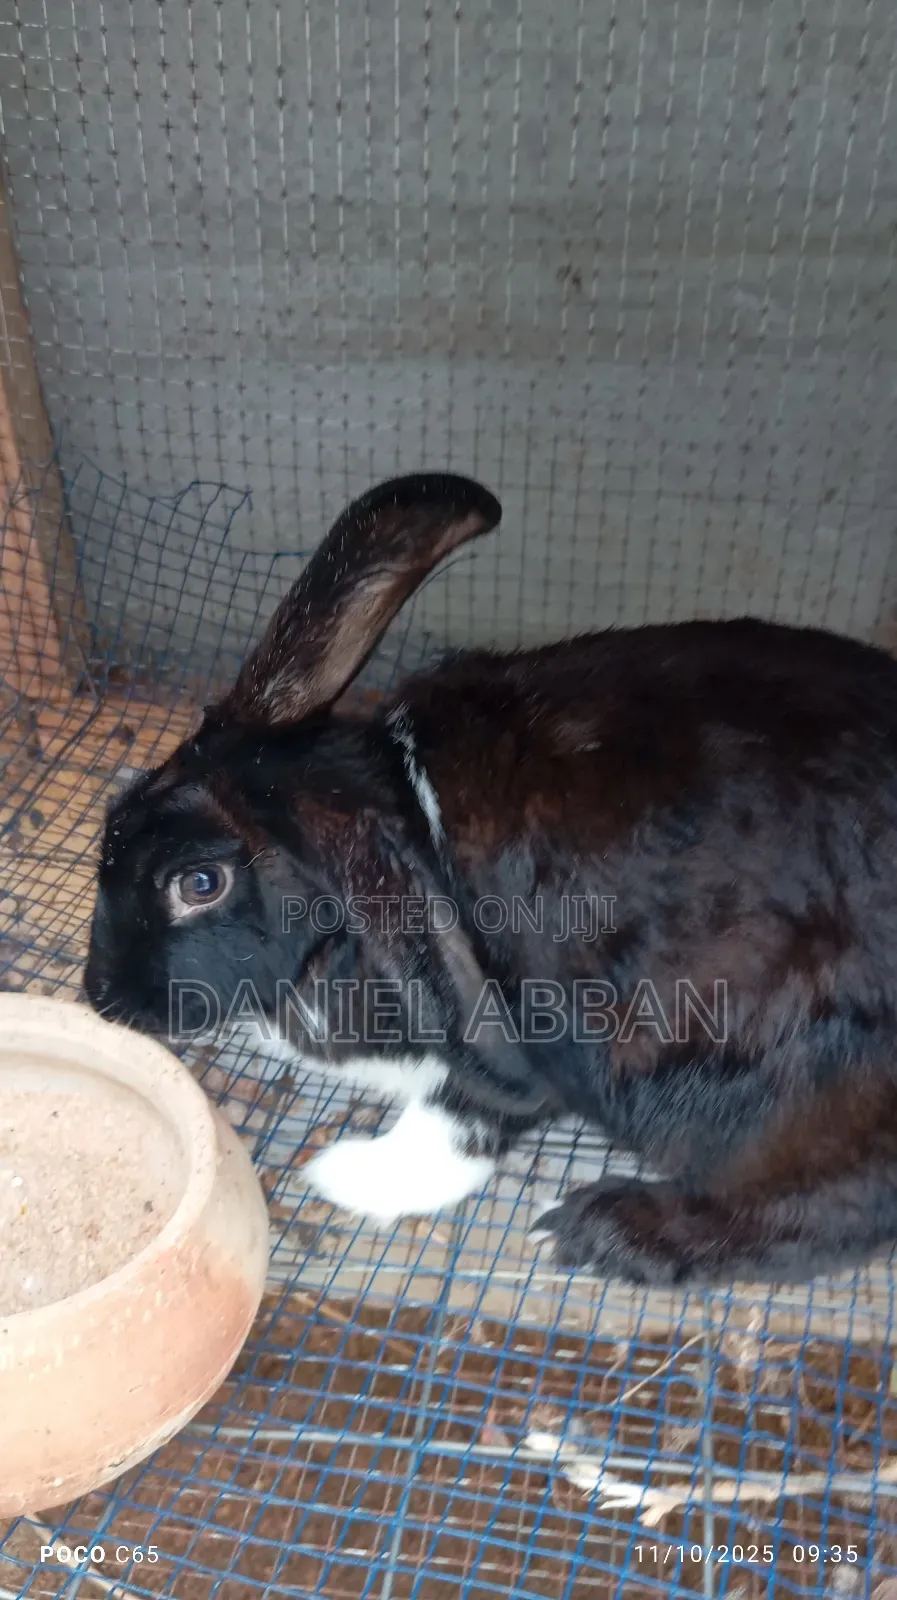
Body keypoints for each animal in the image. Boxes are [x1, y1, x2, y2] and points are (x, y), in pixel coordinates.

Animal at [84, 470, 897, 1288]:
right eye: (111, 820)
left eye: (198, 884)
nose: (102, 998)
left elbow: (464, 1116)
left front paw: (345, 1176)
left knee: (826, 1211)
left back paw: (599, 1229)